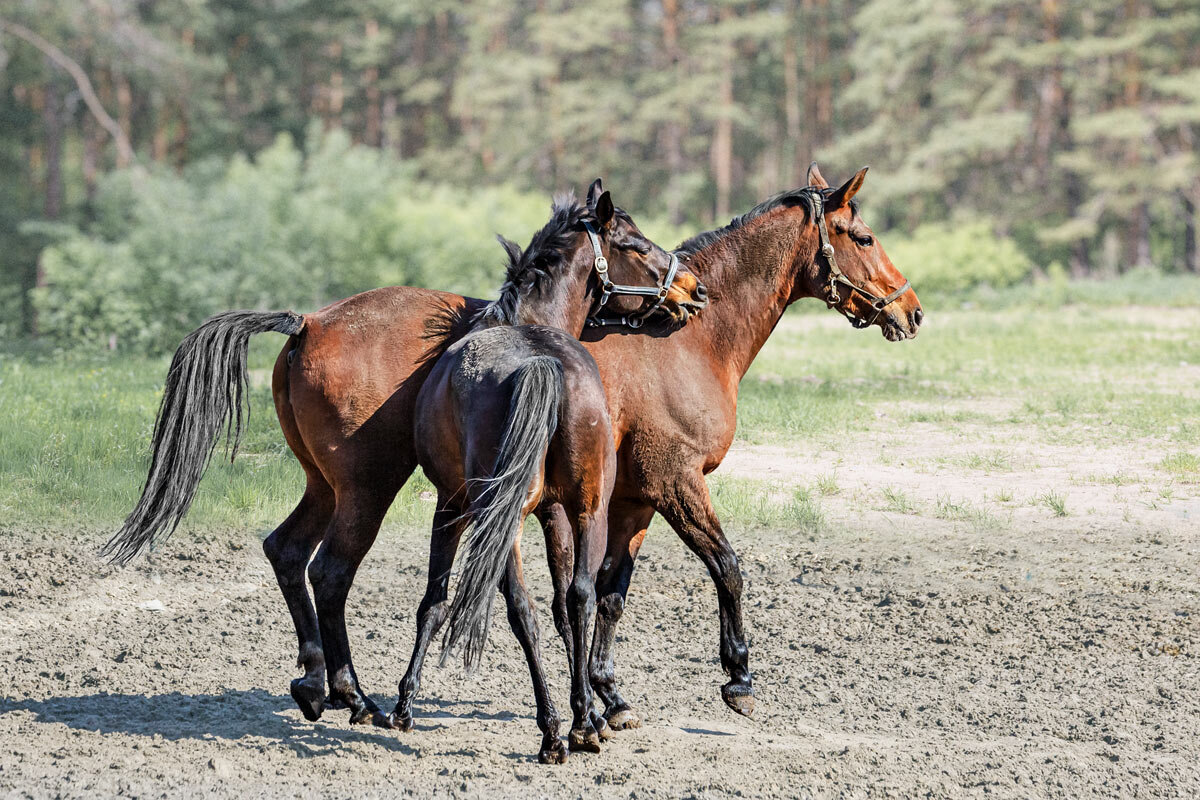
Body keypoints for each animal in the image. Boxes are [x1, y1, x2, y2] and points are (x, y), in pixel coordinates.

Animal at [108, 164, 921, 743]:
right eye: (864, 236)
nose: (911, 309)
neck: (689, 343)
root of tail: (308, 320)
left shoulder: (627, 500)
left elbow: (603, 595)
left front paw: (606, 698)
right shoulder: (674, 483)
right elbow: (725, 566)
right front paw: (736, 679)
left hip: (329, 485)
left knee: (286, 551)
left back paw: (318, 685)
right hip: (370, 489)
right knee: (331, 571)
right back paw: (358, 696)